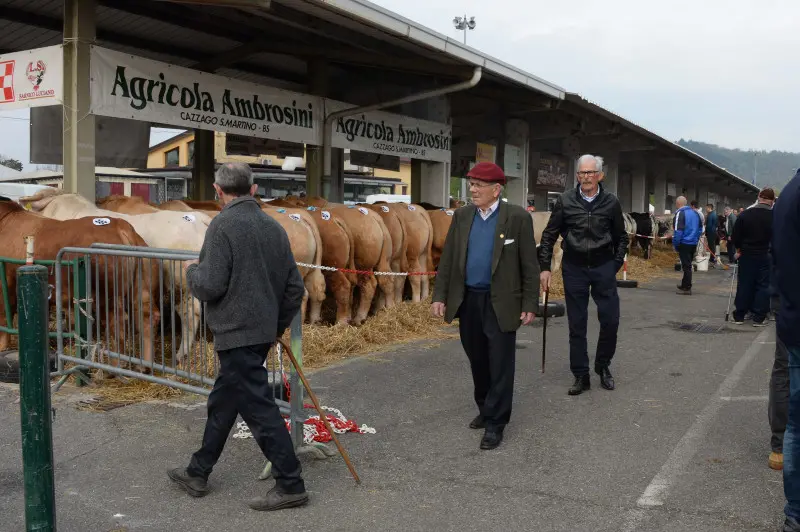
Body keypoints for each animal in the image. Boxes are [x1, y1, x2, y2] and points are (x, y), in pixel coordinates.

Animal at [0, 200, 159, 370]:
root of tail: (120, 225)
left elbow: (3, 318)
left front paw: (2, 347)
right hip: (141, 286)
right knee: (146, 317)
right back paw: (145, 367)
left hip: (107, 294)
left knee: (117, 323)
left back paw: (114, 367)